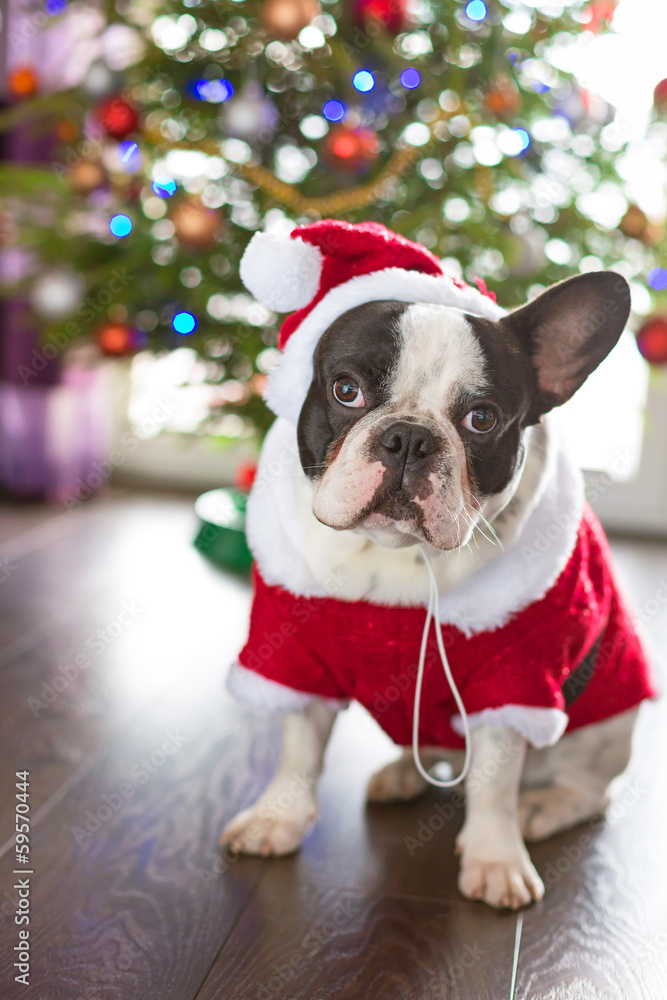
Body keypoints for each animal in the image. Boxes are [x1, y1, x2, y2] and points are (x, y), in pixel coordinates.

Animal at [222, 223, 656, 912]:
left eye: (482, 420)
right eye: (346, 390)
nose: (409, 438)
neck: (396, 559)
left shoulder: (514, 677)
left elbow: (495, 784)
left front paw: (496, 858)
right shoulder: (295, 650)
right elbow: (298, 748)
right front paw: (277, 818)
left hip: (600, 729)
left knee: (587, 790)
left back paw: (542, 808)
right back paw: (404, 772)